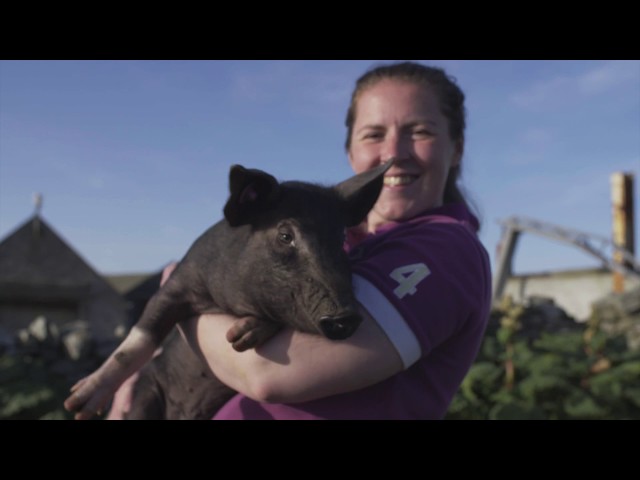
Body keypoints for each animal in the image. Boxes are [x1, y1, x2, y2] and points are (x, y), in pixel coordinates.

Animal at [63, 159, 390, 418]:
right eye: (285, 235)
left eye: (341, 238)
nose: (347, 316)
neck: (229, 302)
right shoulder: (179, 282)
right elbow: (140, 337)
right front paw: (77, 405)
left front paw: (240, 336)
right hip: (148, 392)